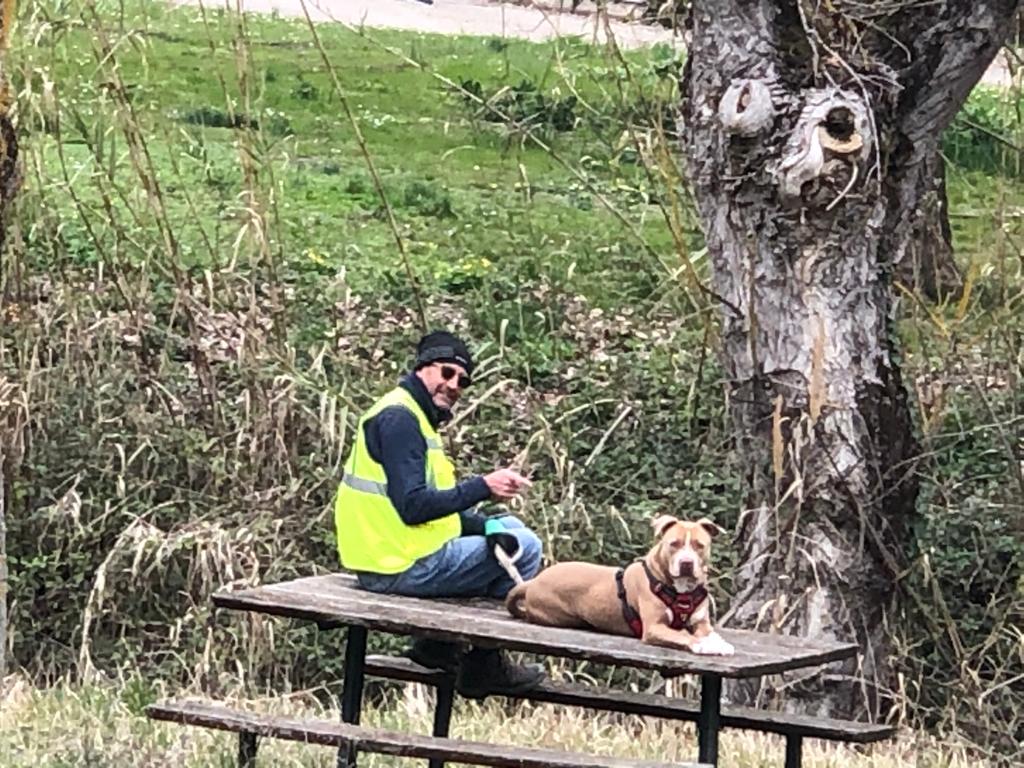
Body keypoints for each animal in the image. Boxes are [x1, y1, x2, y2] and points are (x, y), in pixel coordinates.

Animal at [505, 515, 735, 655]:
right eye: (674, 544)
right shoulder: (654, 627)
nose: (686, 563)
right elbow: (684, 635)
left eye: (699, 546)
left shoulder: (701, 622)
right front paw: (704, 645)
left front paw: (719, 642)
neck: (680, 591)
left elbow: (708, 632)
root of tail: (534, 581)